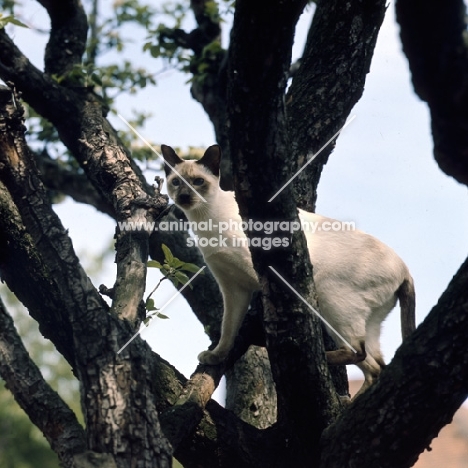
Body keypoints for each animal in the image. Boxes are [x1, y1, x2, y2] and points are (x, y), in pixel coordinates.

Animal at [162, 144, 416, 396]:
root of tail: (405, 270)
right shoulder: (233, 289)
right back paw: (349, 406)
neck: (204, 221)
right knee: (376, 367)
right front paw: (216, 356)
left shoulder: (257, 276)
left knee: (359, 353)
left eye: (197, 182)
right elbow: (227, 330)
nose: (184, 196)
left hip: (329, 298)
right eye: (176, 182)